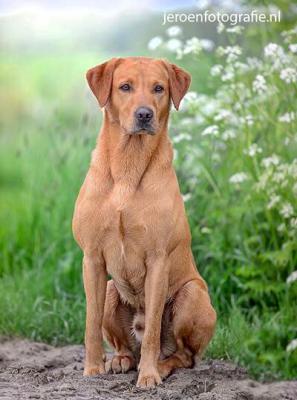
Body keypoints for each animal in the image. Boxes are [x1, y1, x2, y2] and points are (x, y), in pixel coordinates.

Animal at [71, 56, 215, 388]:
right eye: (125, 87)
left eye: (158, 88)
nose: (144, 114)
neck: (128, 163)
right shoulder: (92, 258)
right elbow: (90, 322)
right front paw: (92, 368)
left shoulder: (158, 259)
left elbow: (151, 332)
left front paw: (149, 376)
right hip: (112, 288)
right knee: (126, 345)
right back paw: (120, 360)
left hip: (192, 295)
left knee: (183, 356)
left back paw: (160, 366)